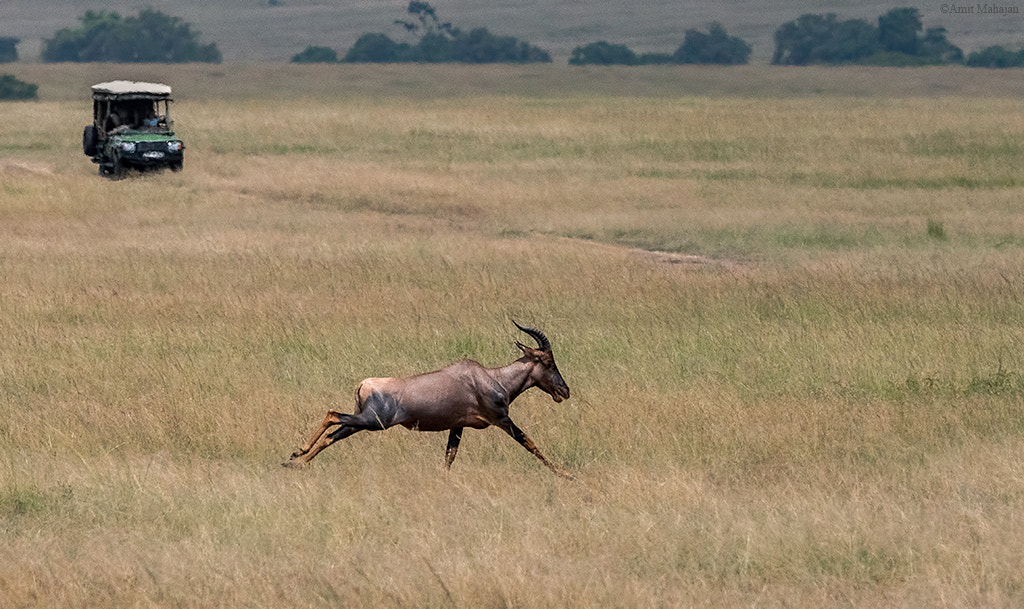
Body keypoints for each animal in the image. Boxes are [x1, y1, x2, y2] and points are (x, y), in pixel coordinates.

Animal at [286, 321, 577, 479]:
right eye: (548, 361)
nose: (564, 391)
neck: (489, 378)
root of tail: (364, 383)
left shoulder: (457, 426)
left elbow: (449, 456)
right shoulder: (502, 419)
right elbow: (529, 442)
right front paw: (566, 474)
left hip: (362, 422)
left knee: (332, 435)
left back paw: (294, 461)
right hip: (373, 421)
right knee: (332, 414)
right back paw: (298, 451)